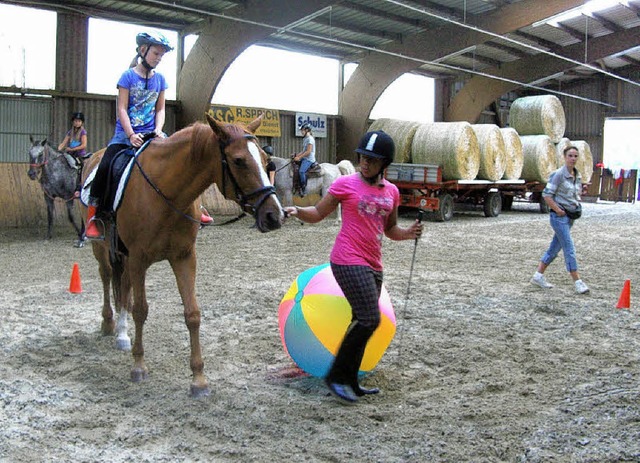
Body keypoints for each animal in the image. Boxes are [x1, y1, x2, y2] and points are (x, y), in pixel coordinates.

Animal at [84, 114, 284, 396]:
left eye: (267, 161)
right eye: (238, 160)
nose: (274, 215)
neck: (167, 192)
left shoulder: (184, 257)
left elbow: (192, 314)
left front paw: (199, 379)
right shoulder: (139, 259)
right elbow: (140, 310)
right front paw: (139, 366)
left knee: (122, 285)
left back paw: (123, 335)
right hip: (102, 248)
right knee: (107, 277)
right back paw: (109, 323)